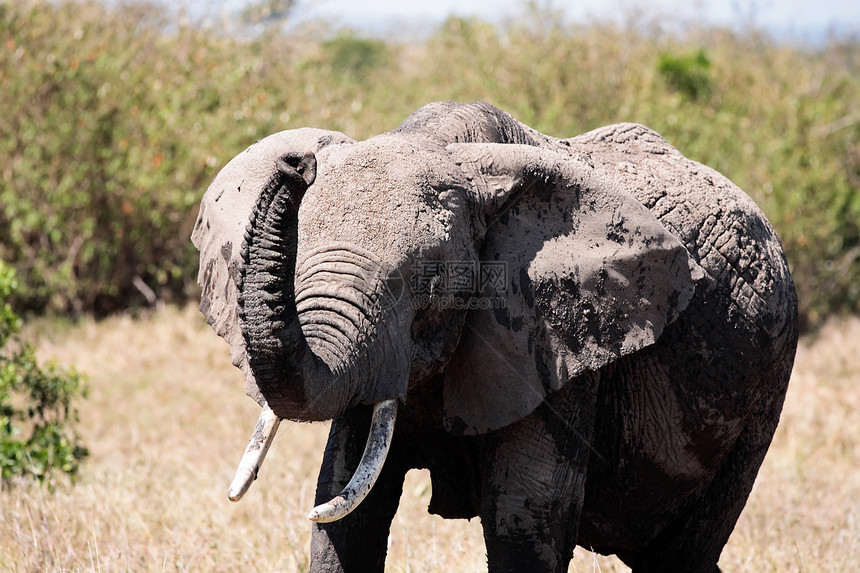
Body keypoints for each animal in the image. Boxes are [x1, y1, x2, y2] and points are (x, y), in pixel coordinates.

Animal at [191, 100, 796, 568]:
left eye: (431, 281)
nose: (298, 164)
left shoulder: (559, 339)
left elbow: (524, 521)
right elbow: (346, 514)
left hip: (762, 399)